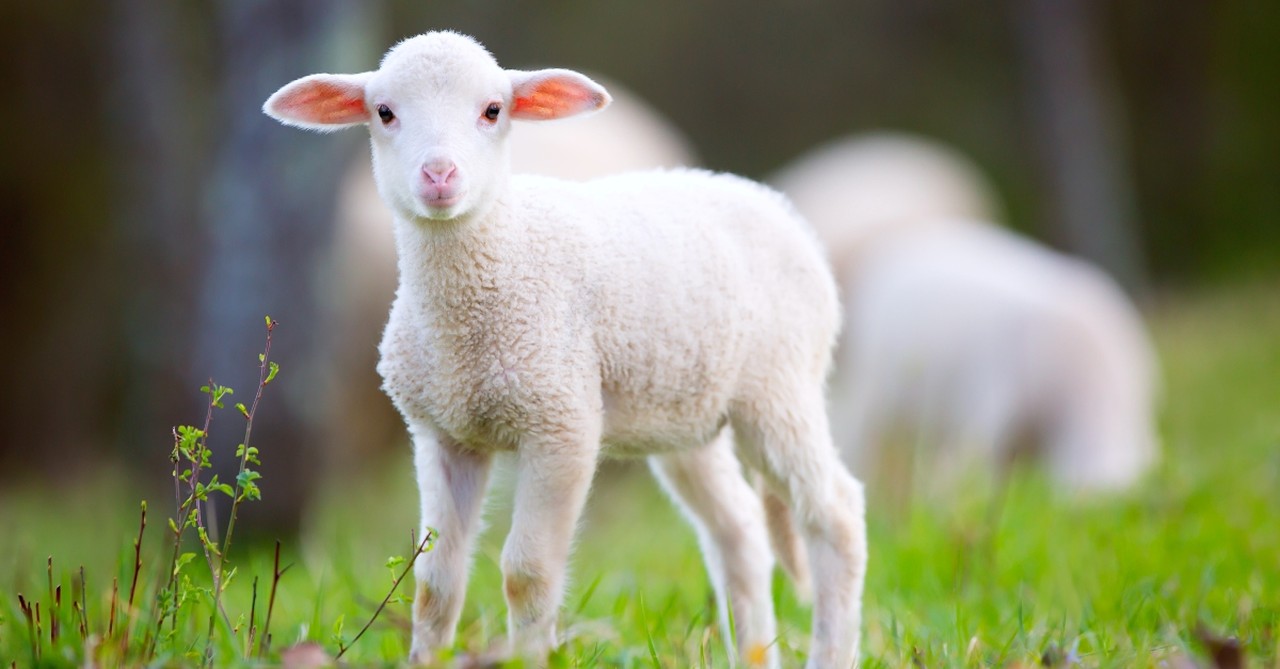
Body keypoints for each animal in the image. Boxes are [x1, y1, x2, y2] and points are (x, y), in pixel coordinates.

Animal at [264, 31, 866, 668]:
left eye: (493, 110)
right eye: (384, 112)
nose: (439, 174)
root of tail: (773, 202)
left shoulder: (561, 424)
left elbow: (526, 573)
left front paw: (527, 655)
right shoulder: (441, 433)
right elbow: (435, 581)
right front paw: (426, 656)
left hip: (780, 388)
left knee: (836, 515)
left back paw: (833, 649)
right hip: (688, 412)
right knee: (740, 529)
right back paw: (752, 650)